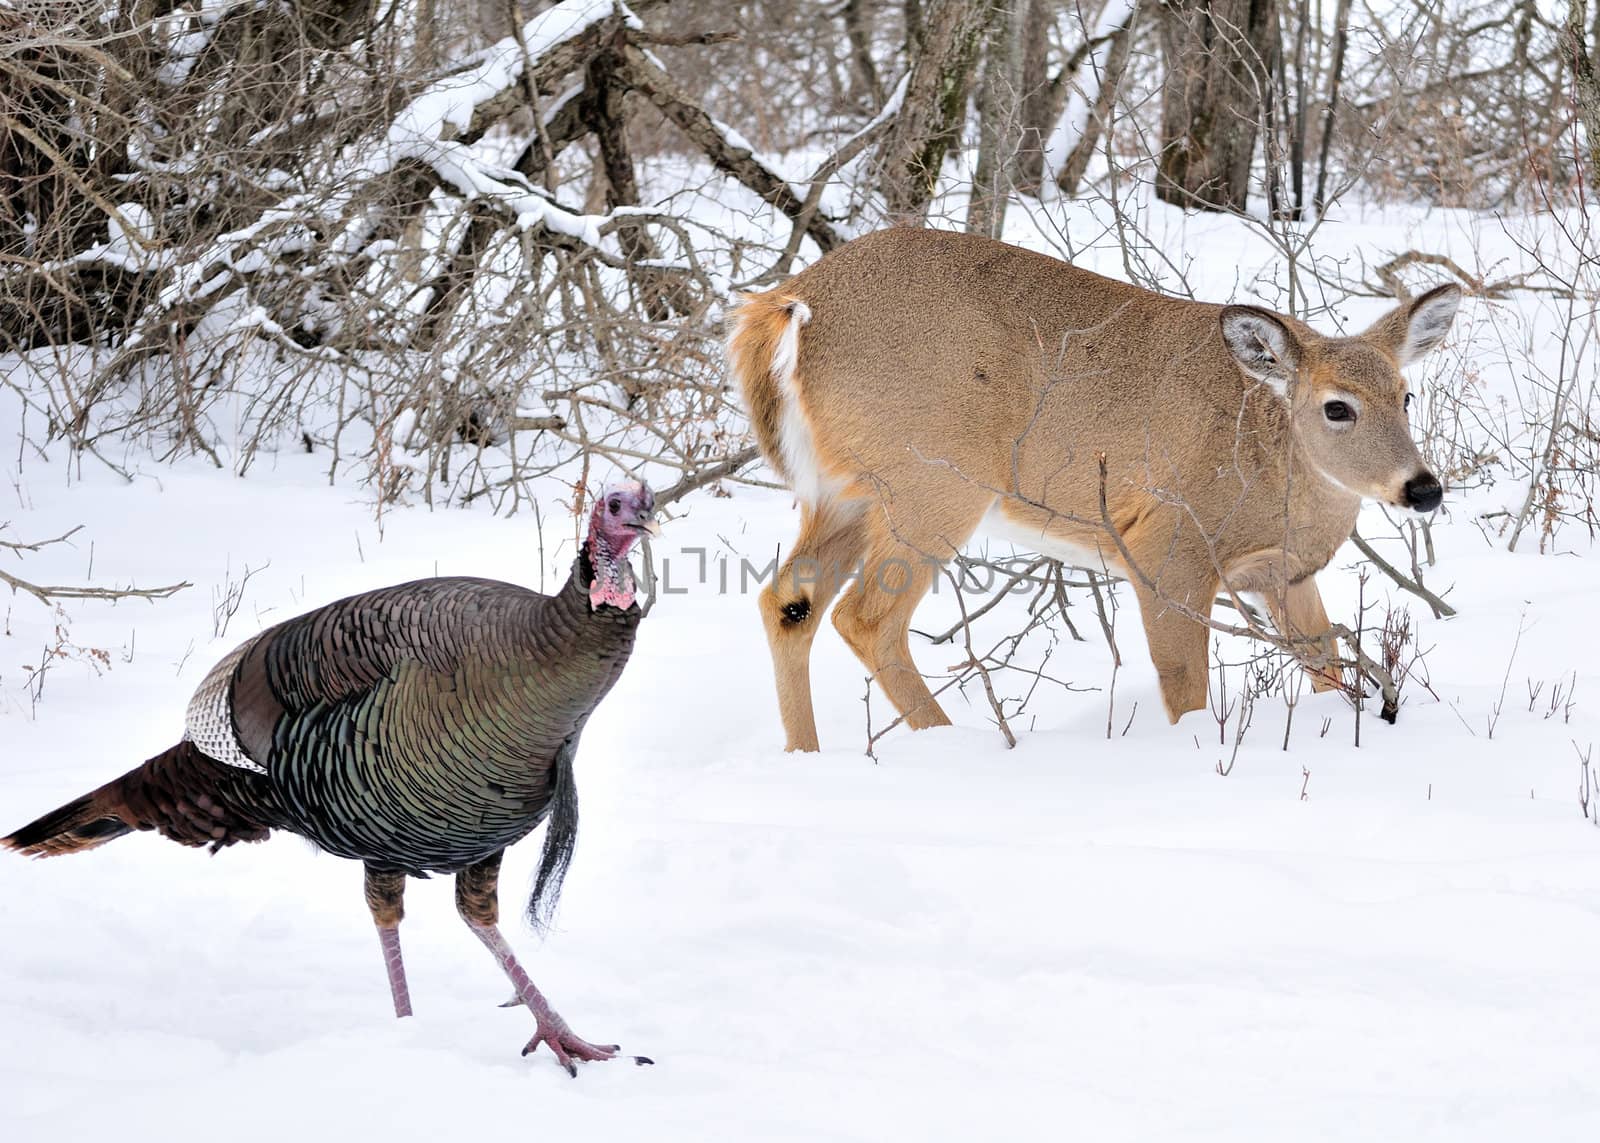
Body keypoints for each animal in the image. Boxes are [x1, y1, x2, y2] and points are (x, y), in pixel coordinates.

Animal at [732, 228, 1465, 752]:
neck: (1268, 459)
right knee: (865, 617)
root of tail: (788, 307)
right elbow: (1185, 686)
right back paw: (954, 746)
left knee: (788, 600)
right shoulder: (1166, 548)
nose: (1423, 489)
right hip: (931, 480)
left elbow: (1326, 665)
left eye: (1405, 396)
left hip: (843, 491)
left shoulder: (1283, 575)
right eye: (1337, 407)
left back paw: (806, 755)